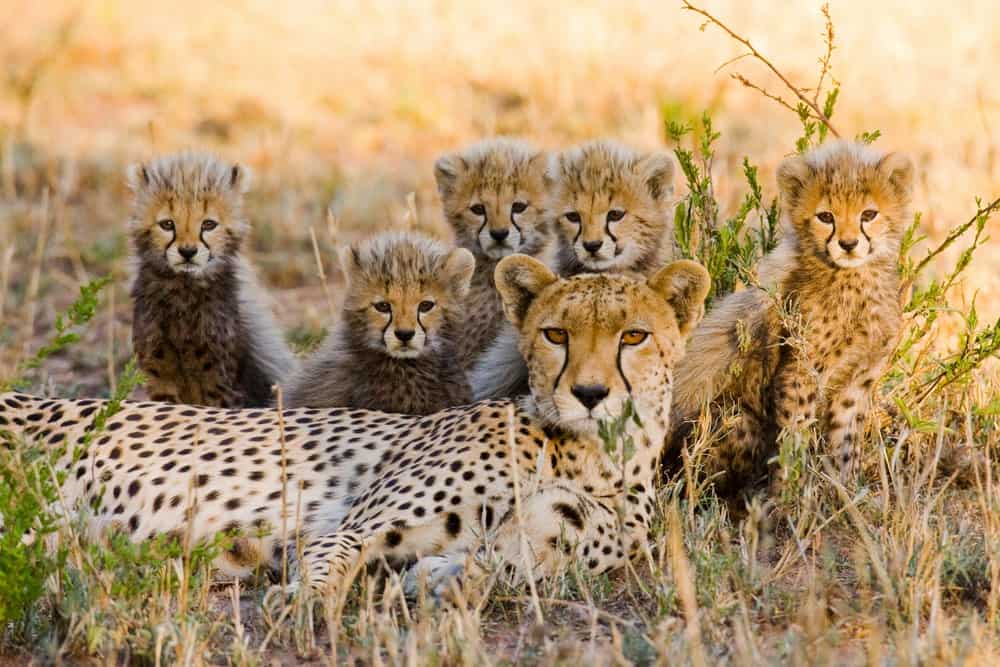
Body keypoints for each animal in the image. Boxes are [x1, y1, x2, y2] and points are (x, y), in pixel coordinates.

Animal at [0, 256, 710, 598]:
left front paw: (440, 583)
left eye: (634, 337)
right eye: (556, 334)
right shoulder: (347, 528)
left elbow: (490, 566)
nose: (589, 394)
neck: (594, 453)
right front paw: (304, 603)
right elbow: (330, 561)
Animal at [127, 151, 297, 408]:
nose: (188, 252)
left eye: (208, 224)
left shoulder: (219, 381)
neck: (184, 291)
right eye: (167, 224)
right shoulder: (160, 374)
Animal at [666, 140, 914, 490]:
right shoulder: (800, 372)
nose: (848, 244)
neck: (853, 278)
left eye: (869, 214)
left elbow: (846, 439)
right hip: (734, 419)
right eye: (825, 216)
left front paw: (844, 490)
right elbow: (795, 433)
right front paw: (788, 492)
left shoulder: (857, 380)